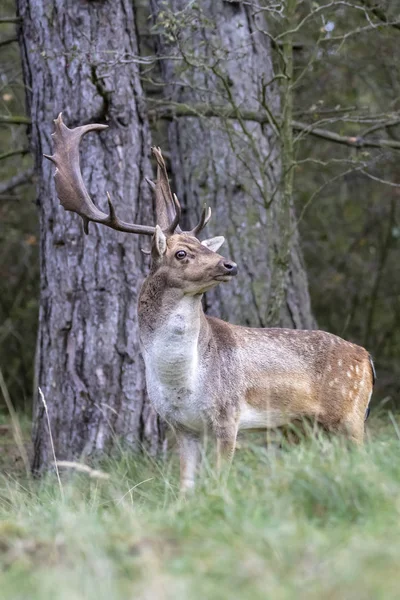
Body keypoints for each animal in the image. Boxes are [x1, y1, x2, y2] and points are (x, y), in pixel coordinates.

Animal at [45, 115, 376, 490]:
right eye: (181, 253)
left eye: (205, 245)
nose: (229, 264)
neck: (182, 382)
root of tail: (366, 357)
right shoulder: (180, 426)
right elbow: (186, 488)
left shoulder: (228, 413)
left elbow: (219, 479)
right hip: (305, 426)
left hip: (350, 414)